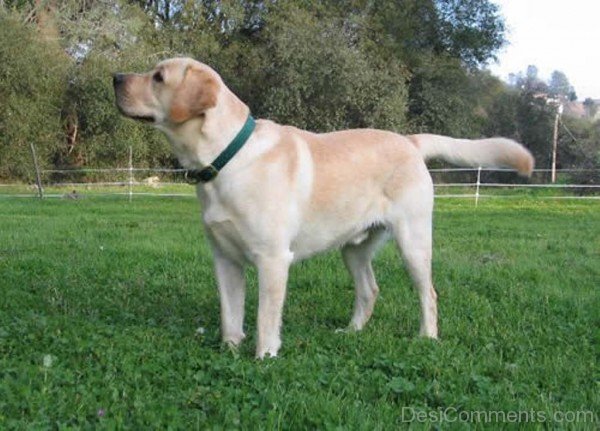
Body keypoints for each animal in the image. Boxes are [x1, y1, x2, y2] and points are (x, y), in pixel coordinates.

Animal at [113, 58, 536, 362]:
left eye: (158, 77)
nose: (115, 77)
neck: (226, 158)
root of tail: (409, 140)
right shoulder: (225, 259)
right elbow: (230, 314)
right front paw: (229, 351)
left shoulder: (272, 260)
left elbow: (265, 318)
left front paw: (263, 358)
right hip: (354, 248)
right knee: (369, 289)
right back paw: (352, 332)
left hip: (413, 241)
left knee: (428, 293)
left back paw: (426, 338)